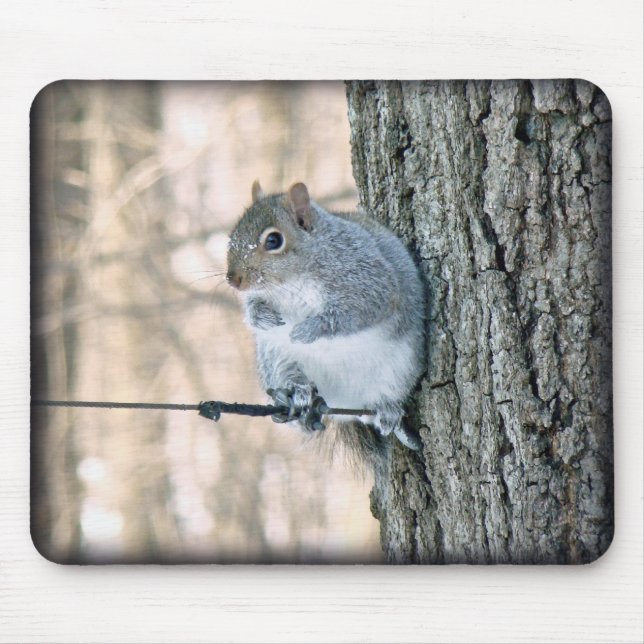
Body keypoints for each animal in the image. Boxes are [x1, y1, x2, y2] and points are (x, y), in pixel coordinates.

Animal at [226, 181, 425, 462]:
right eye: (232, 235)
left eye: (274, 240)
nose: (233, 279)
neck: (291, 282)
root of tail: (345, 403)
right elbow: (253, 308)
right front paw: (261, 317)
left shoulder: (367, 278)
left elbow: (362, 308)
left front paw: (309, 329)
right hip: (277, 358)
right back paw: (296, 396)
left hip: (399, 370)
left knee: (381, 404)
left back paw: (387, 412)